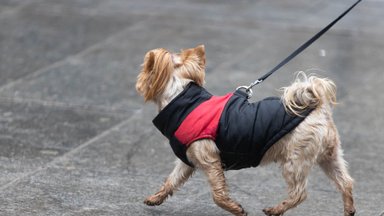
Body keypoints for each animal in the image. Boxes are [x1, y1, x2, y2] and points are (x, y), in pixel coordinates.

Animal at [136, 44, 356, 215]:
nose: (138, 81)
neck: (183, 100)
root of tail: (319, 109)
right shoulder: (187, 160)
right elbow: (171, 180)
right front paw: (155, 198)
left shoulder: (210, 159)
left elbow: (218, 193)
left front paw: (234, 208)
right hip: (329, 157)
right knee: (345, 182)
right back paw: (349, 210)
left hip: (295, 161)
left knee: (299, 193)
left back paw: (276, 209)